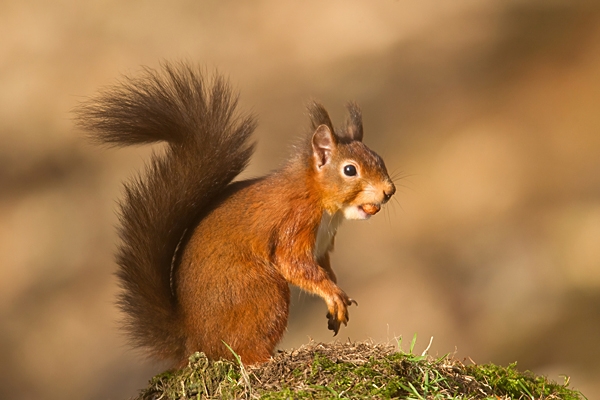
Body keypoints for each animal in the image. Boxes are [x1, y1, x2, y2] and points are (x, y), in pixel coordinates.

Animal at [76, 63, 394, 368]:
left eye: (379, 159)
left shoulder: (323, 245)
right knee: (244, 351)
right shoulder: (295, 221)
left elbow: (323, 267)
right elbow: (293, 263)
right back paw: (266, 360)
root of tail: (194, 341)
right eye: (350, 170)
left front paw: (337, 298)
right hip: (260, 291)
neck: (321, 201)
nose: (389, 191)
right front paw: (333, 294)